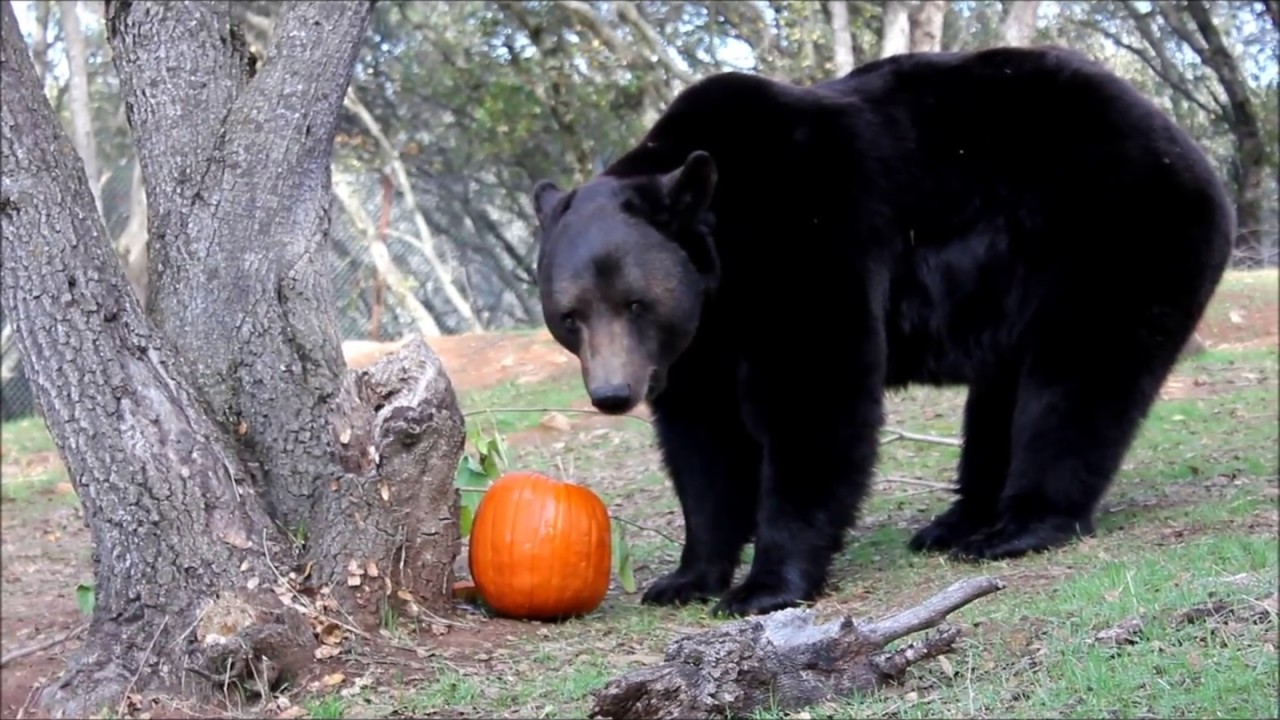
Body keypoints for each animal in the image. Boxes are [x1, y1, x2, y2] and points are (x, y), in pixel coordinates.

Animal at [528, 46, 1234, 618]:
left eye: (635, 302)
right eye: (570, 314)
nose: (613, 394)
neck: (727, 252)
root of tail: (1187, 148)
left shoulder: (808, 236)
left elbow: (814, 396)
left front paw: (766, 586)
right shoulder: (700, 342)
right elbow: (703, 442)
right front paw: (686, 577)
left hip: (1113, 236)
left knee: (1075, 382)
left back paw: (1018, 526)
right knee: (1000, 397)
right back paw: (955, 523)